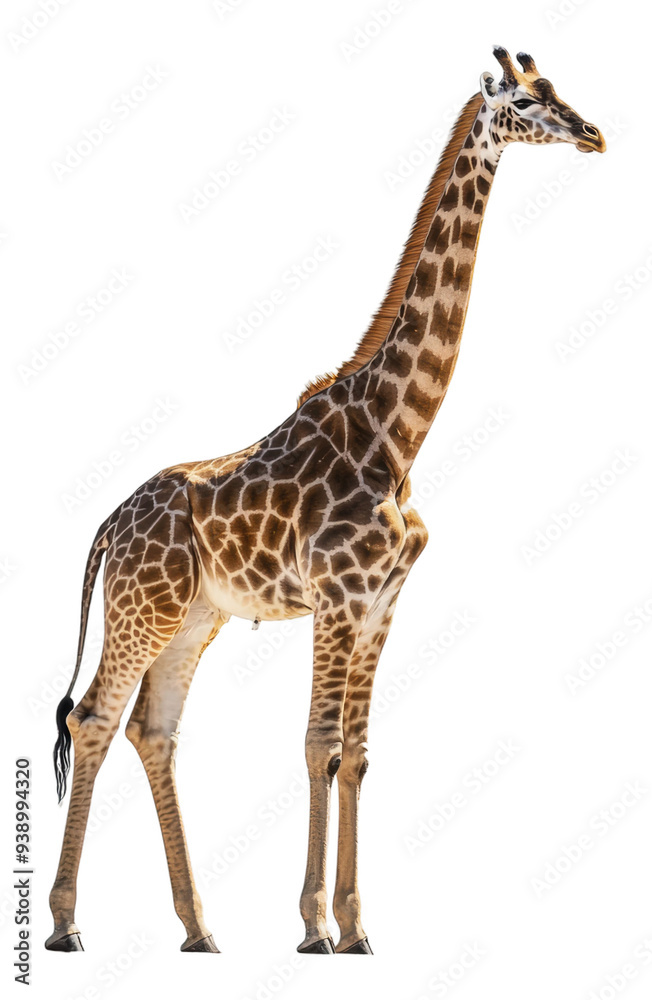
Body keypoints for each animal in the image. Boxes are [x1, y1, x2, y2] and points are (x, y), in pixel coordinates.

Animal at [46, 47, 605, 956]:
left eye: (559, 91)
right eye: (527, 102)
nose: (594, 133)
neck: (397, 433)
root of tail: (103, 527)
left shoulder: (382, 601)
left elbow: (360, 754)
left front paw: (356, 926)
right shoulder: (338, 596)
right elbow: (318, 747)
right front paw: (314, 926)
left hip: (194, 617)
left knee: (151, 729)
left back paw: (199, 929)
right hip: (142, 609)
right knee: (92, 717)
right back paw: (65, 925)